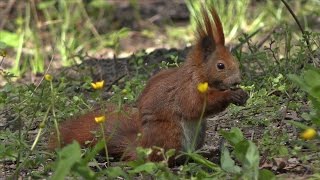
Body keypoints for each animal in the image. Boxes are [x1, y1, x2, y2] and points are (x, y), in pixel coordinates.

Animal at [49, 5, 250, 163]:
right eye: (220, 66)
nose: (238, 80)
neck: (198, 74)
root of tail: (141, 147)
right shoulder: (186, 90)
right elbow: (195, 105)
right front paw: (231, 95)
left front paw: (242, 94)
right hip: (170, 133)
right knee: (162, 158)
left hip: (200, 130)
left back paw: (204, 154)